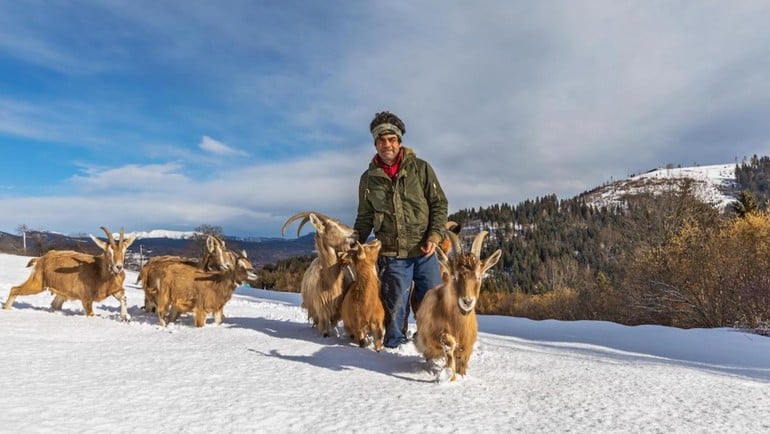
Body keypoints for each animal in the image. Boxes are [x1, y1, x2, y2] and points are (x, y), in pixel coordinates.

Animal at [3, 225, 136, 320]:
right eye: (108, 252)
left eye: (124, 250)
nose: (119, 267)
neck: (100, 272)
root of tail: (41, 259)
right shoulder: (86, 298)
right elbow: (91, 314)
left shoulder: (114, 289)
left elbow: (123, 297)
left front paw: (125, 317)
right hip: (38, 282)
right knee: (15, 289)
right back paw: (6, 308)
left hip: (59, 291)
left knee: (55, 304)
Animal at [412, 229, 500, 382]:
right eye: (455, 276)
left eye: (479, 276)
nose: (467, 301)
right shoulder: (433, 338)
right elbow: (448, 346)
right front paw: (449, 376)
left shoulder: (468, 346)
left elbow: (462, 362)